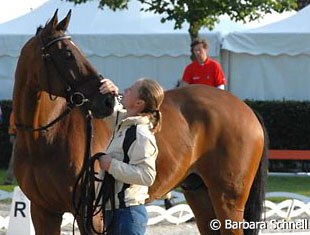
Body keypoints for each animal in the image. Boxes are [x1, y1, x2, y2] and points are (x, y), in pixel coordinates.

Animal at [13, 10, 268, 234]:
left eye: (74, 51)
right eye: (66, 53)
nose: (106, 100)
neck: (46, 137)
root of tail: (245, 109)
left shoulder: (91, 216)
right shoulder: (43, 212)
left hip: (228, 200)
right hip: (199, 193)